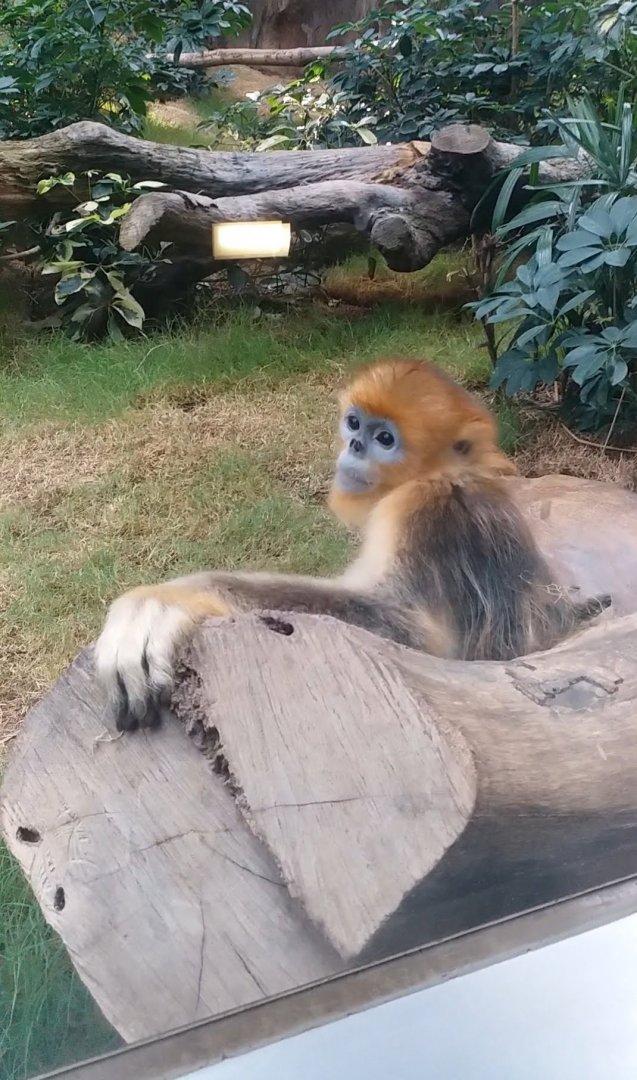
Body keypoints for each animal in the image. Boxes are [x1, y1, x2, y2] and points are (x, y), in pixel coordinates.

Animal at [94, 358, 610, 733]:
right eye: (353, 423)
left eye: (385, 439)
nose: (355, 448)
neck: (441, 476)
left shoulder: (419, 513)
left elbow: (413, 636)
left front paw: (170, 599)